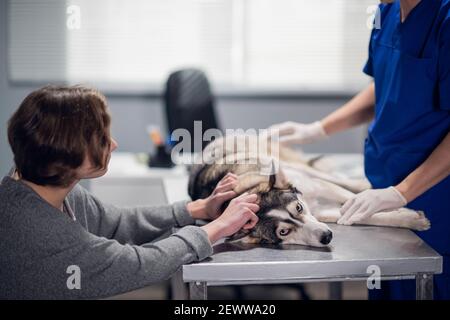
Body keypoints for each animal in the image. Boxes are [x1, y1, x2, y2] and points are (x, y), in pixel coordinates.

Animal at [187, 133, 432, 248]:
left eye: (298, 208)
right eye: (283, 232)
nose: (326, 236)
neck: (250, 189)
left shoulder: (320, 190)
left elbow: (356, 204)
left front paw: (403, 214)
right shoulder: (321, 213)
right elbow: (356, 215)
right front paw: (408, 217)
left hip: (298, 169)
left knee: (331, 178)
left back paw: (366, 185)